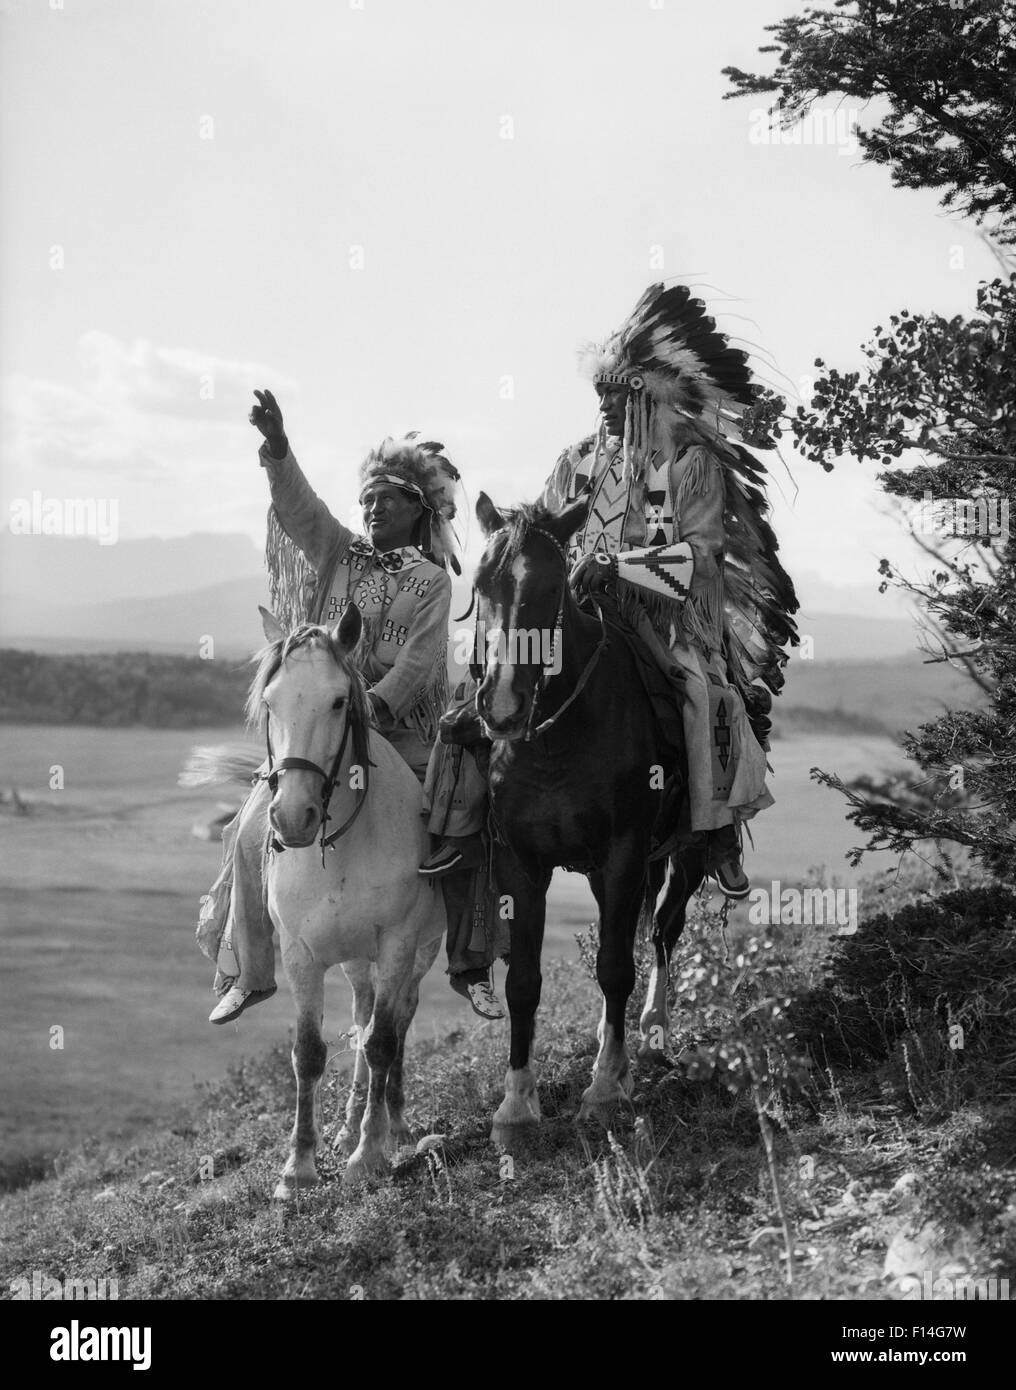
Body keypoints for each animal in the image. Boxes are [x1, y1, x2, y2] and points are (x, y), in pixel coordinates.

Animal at [248, 608, 441, 1195]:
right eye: (271, 702)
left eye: (338, 701)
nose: (292, 818)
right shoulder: (299, 953)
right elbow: (310, 1053)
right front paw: (299, 1168)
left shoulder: (399, 943)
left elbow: (383, 1043)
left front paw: (368, 1157)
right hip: (357, 959)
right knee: (362, 1013)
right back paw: (351, 1124)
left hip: (419, 953)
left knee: (396, 1020)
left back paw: (391, 1122)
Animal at [475, 494, 706, 1145]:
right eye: (480, 584)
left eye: (552, 587)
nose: (502, 705)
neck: (558, 741)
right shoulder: (519, 863)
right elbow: (523, 983)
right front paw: (516, 1107)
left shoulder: (626, 851)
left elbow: (614, 967)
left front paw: (603, 1092)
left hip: (685, 852)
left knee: (661, 930)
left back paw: (646, 1037)